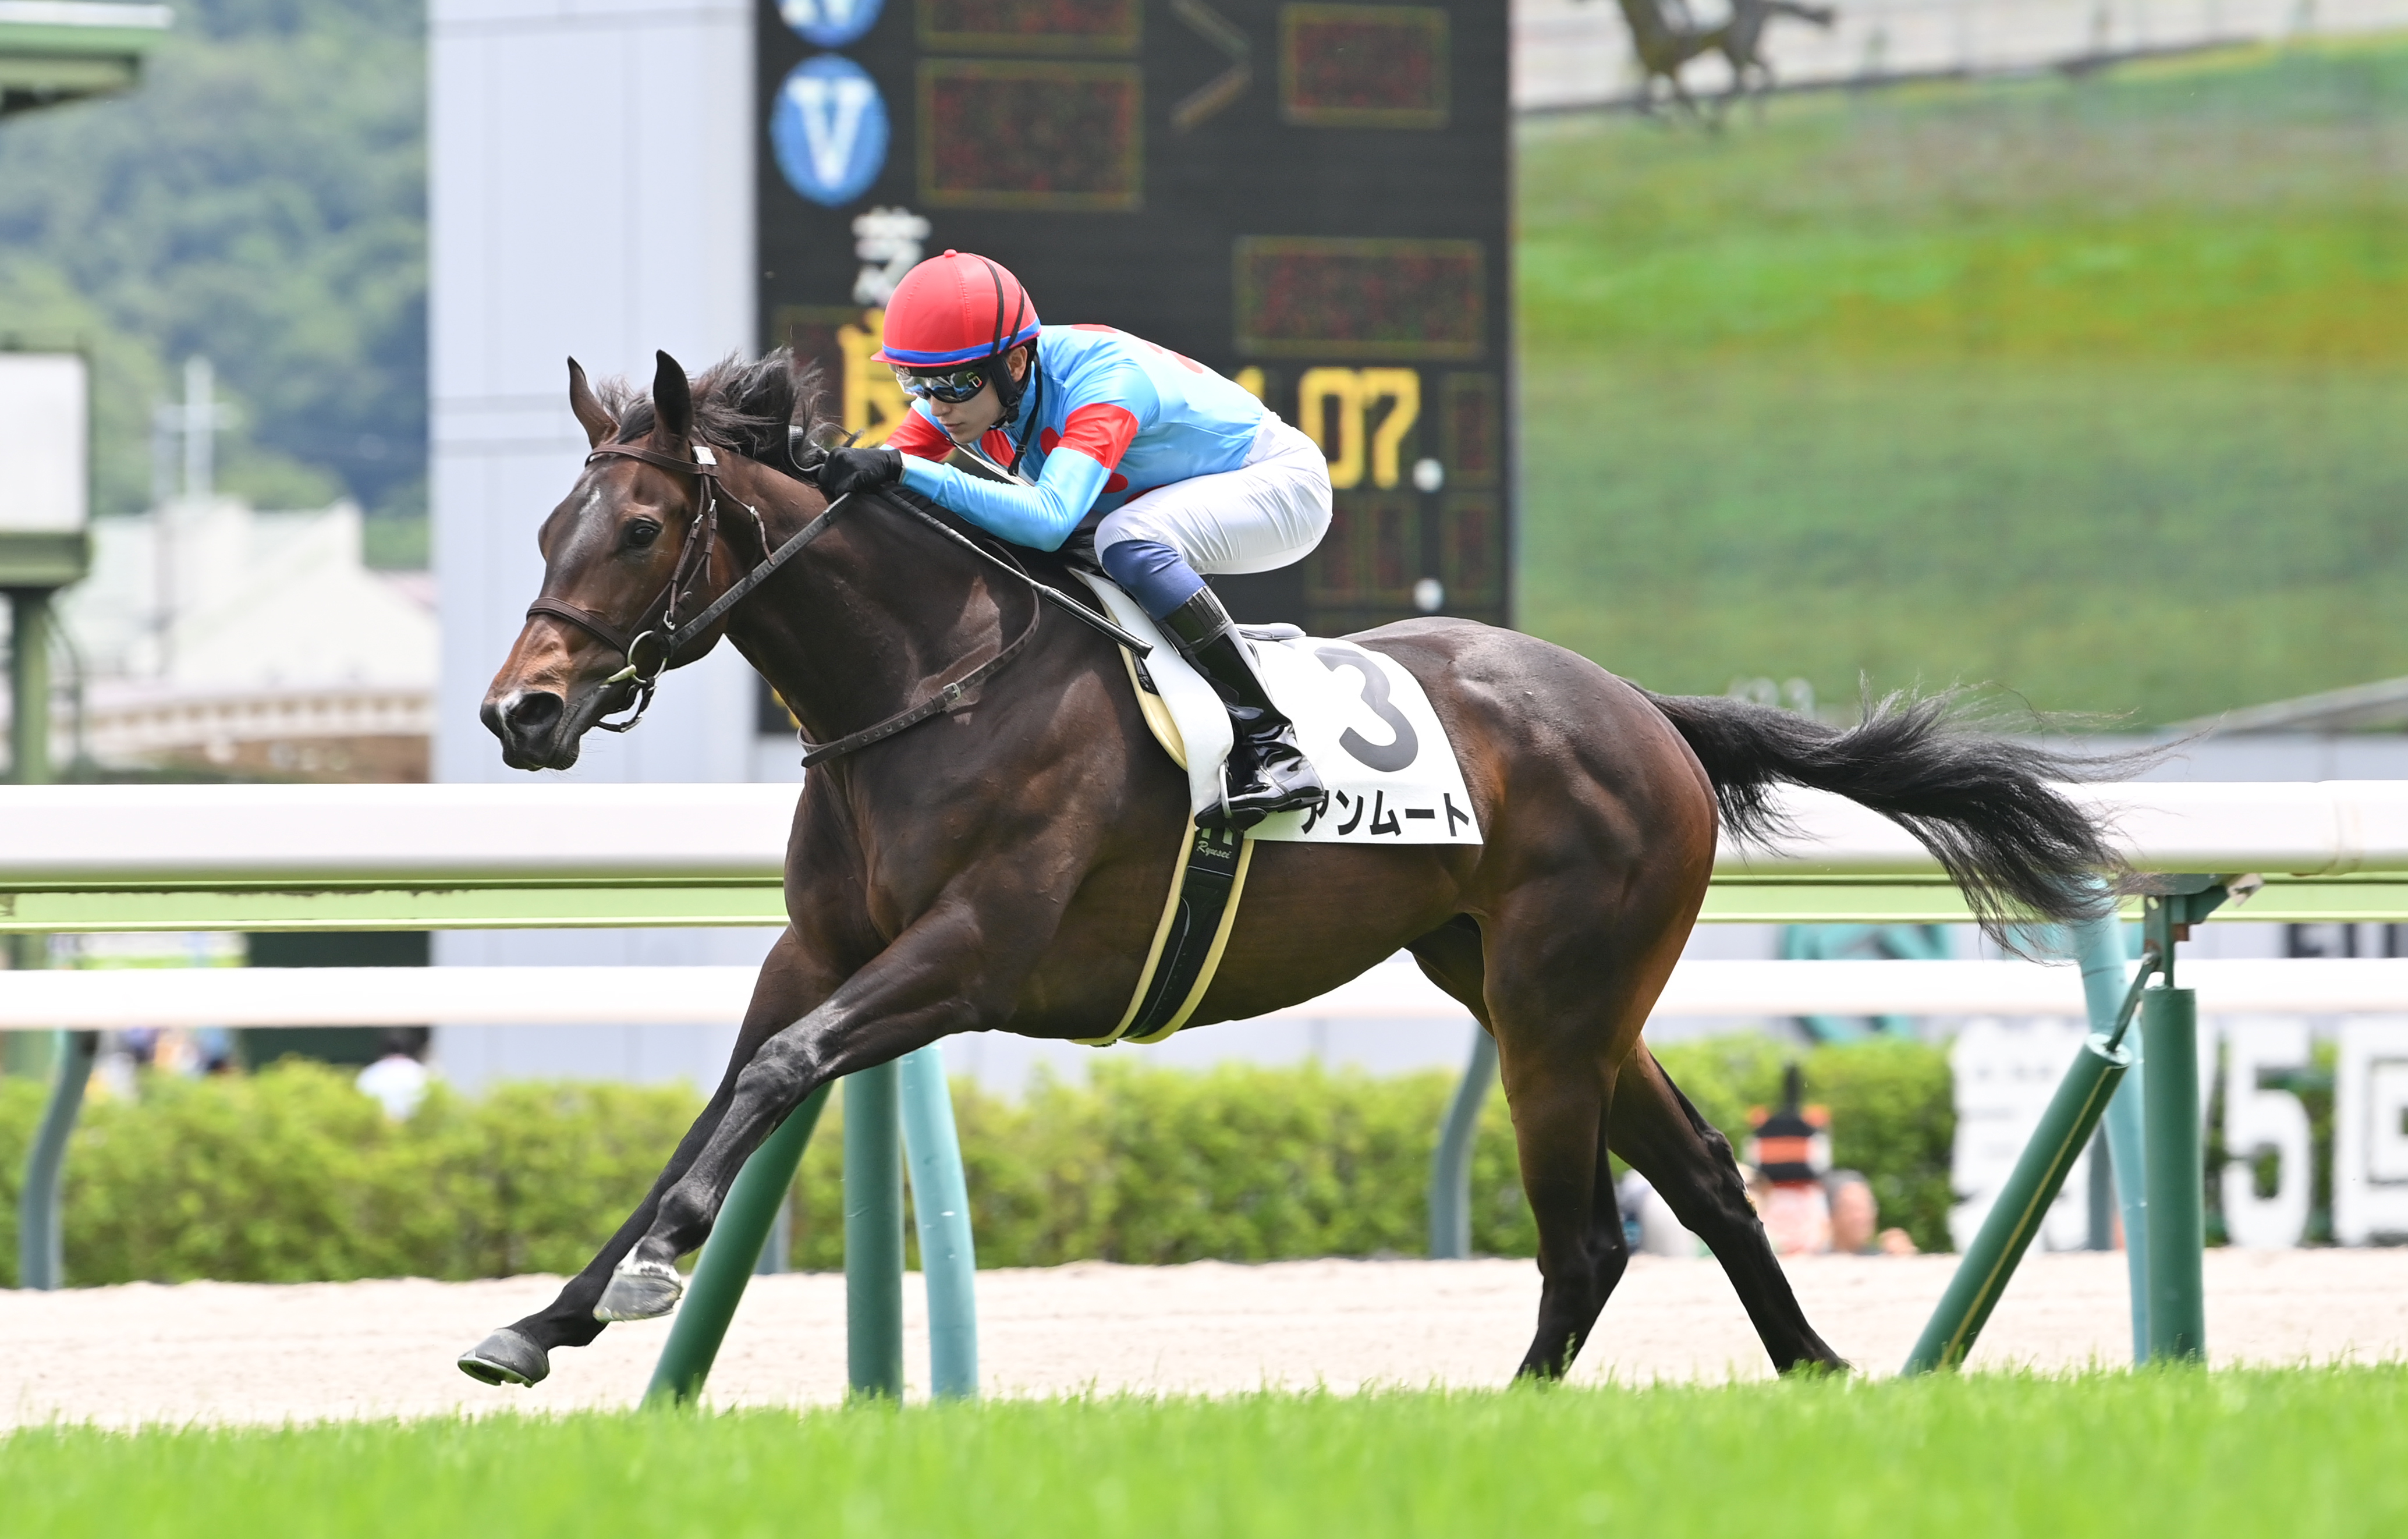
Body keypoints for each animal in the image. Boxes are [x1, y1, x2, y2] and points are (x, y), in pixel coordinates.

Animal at [457, 348, 2127, 1391]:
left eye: (644, 524)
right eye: (546, 523)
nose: (517, 712)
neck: (933, 676)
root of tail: (1645, 710)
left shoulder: (973, 952)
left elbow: (780, 1068)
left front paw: (647, 1271)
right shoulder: (816, 948)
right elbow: (728, 1088)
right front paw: (547, 1315)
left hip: (1552, 1004)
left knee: (1588, 1235)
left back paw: (1522, 1413)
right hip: (1543, 990)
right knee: (1712, 1180)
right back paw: (1819, 1367)